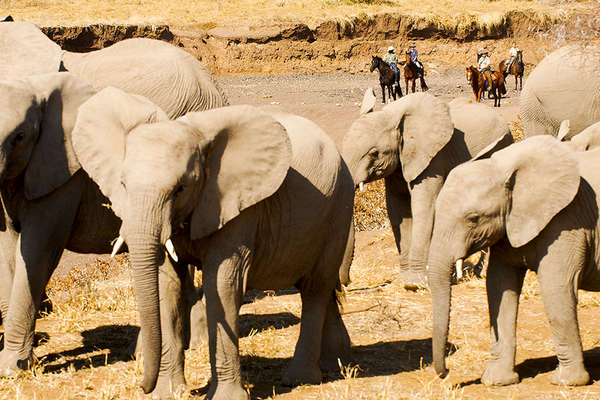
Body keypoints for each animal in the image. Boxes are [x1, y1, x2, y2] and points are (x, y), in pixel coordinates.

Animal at [71, 88, 356, 400]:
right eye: (122, 183)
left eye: (180, 188)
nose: (142, 386)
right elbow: (167, 285)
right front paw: (167, 394)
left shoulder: (236, 204)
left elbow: (222, 284)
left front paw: (223, 397)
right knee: (320, 289)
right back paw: (336, 363)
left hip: (339, 208)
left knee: (315, 289)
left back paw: (301, 379)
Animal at [340, 92, 512, 290]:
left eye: (374, 153)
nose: (348, 282)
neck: (393, 116)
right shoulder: (400, 161)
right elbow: (398, 210)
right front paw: (404, 280)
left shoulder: (433, 158)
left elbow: (424, 207)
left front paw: (415, 284)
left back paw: (478, 272)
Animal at [428, 135, 600, 388]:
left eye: (473, 218)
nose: (447, 373)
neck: (505, 167)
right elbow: (499, 285)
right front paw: (496, 381)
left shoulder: (568, 219)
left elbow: (557, 286)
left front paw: (567, 382)